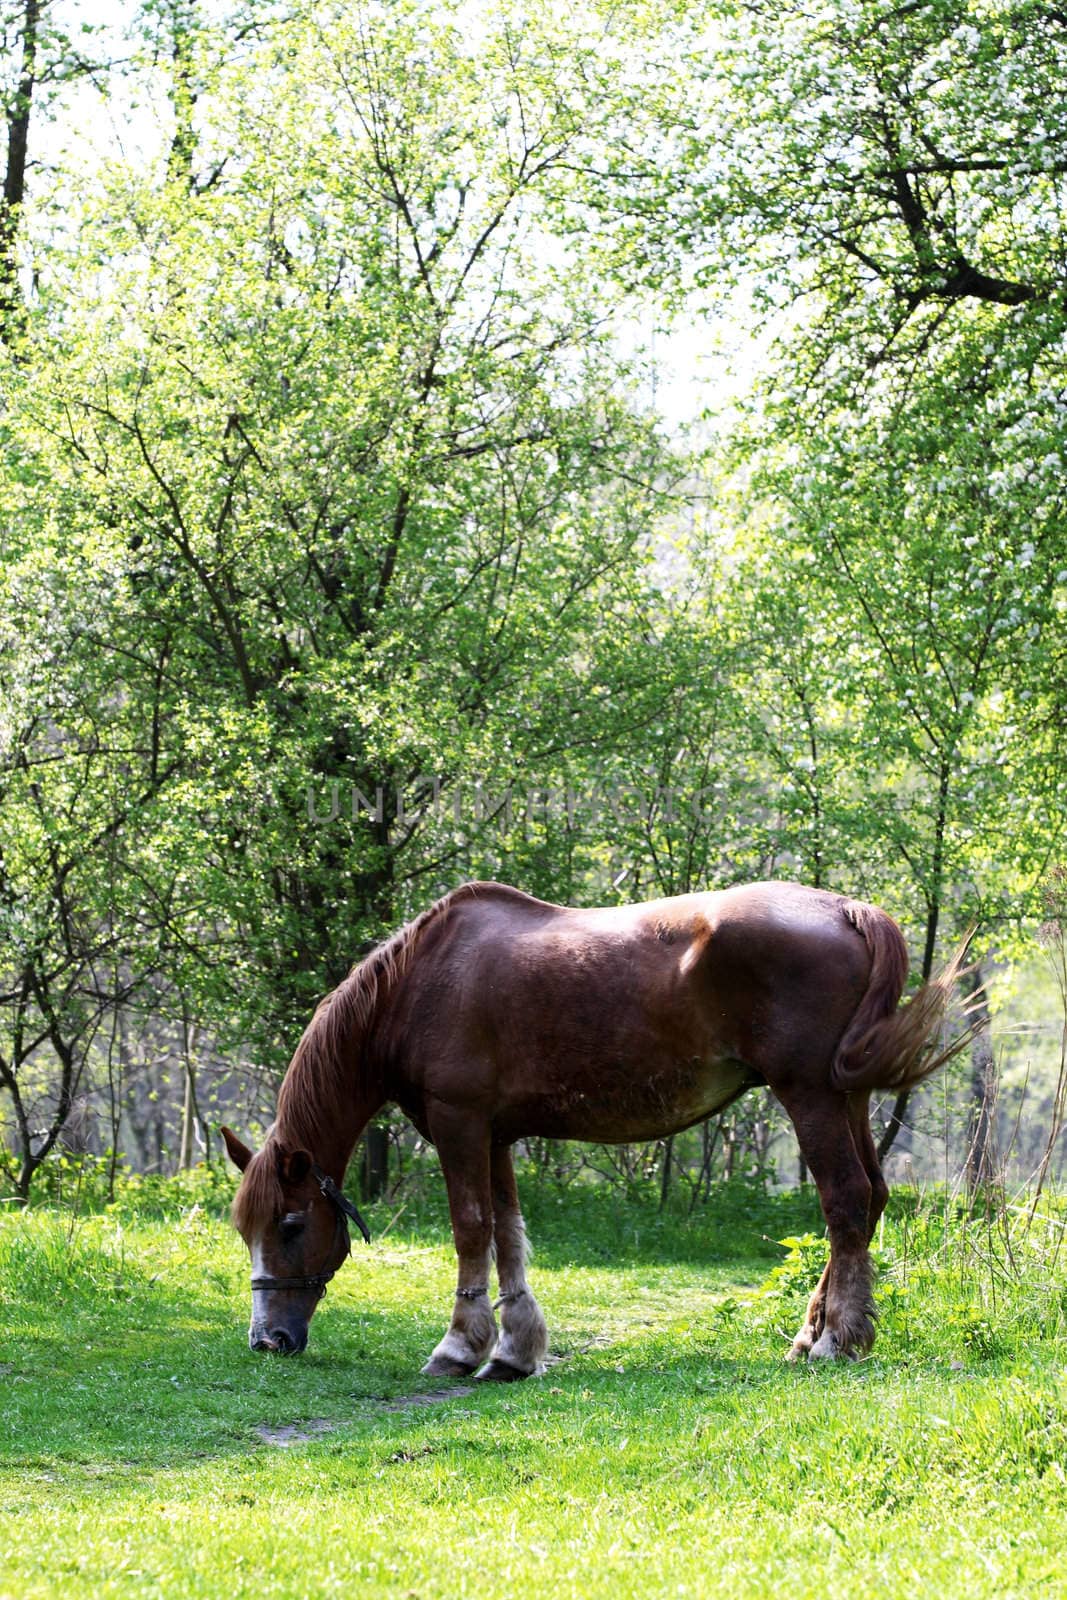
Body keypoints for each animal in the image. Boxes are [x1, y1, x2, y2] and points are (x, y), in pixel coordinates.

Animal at [223, 883, 966, 1369]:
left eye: (291, 1225)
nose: (267, 1341)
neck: (418, 985)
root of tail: (846, 909)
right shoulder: (494, 1135)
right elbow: (508, 1234)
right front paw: (514, 1350)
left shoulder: (458, 1124)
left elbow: (471, 1230)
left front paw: (460, 1345)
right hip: (847, 1096)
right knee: (871, 1198)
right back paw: (816, 1332)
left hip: (809, 1094)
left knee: (844, 1201)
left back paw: (836, 1338)